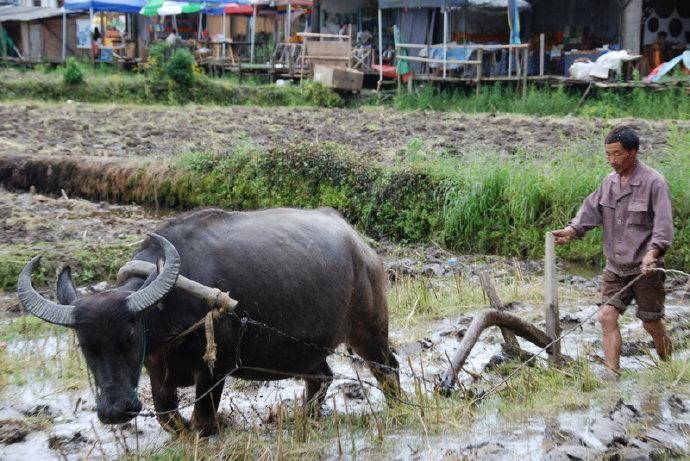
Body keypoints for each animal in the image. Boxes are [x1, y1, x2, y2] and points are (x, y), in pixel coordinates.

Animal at [17, 207, 398, 434]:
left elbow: (202, 419)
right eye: (85, 346)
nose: (114, 411)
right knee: (321, 377)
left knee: (387, 368)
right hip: (304, 350)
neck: (168, 306)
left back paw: (395, 407)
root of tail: (362, 247)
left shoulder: (216, 368)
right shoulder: (156, 369)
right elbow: (167, 416)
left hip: (369, 331)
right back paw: (305, 418)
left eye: (129, 334)